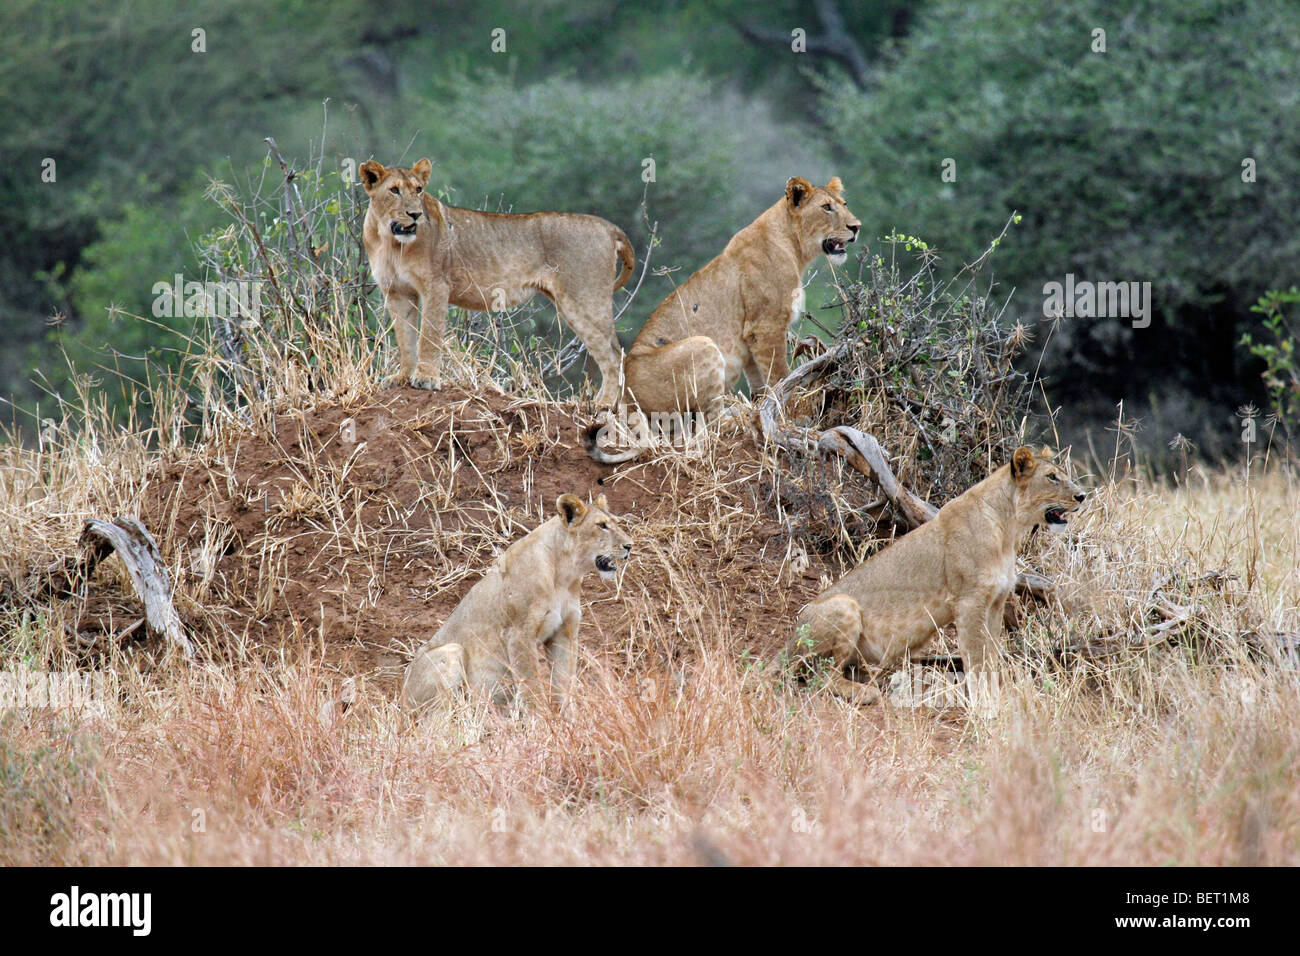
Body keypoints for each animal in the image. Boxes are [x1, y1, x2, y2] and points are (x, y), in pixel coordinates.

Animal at [360, 159, 635, 406]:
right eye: (394, 190)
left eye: (418, 190)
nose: (415, 214)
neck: (391, 241)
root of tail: (608, 227)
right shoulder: (397, 291)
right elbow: (405, 337)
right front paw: (402, 377)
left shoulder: (435, 286)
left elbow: (428, 335)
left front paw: (426, 379)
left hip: (584, 300)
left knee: (614, 356)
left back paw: (603, 406)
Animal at [402, 493, 632, 712]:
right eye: (602, 525)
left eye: (615, 522)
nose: (630, 545)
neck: (564, 575)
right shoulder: (518, 634)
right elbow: (532, 685)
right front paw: (541, 721)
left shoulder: (564, 632)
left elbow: (564, 681)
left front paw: (569, 719)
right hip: (450, 652)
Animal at [586, 176, 859, 462]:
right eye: (826, 207)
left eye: (843, 204)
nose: (856, 227)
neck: (793, 245)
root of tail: (625, 398)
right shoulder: (767, 325)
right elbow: (780, 376)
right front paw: (786, 414)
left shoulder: (751, 338)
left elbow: (761, 383)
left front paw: (765, 408)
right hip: (703, 345)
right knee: (709, 425)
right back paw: (740, 419)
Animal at [787, 447, 1087, 705]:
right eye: (1052, 477)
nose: (1082, 496)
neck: (1008, 528)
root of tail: (787, 644)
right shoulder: (969, 601)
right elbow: (977, 656)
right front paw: (984, 702)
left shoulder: (996, 601)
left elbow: (992, 654)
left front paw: (999, 694)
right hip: (843, 605)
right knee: (820, 677)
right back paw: (865, 692)